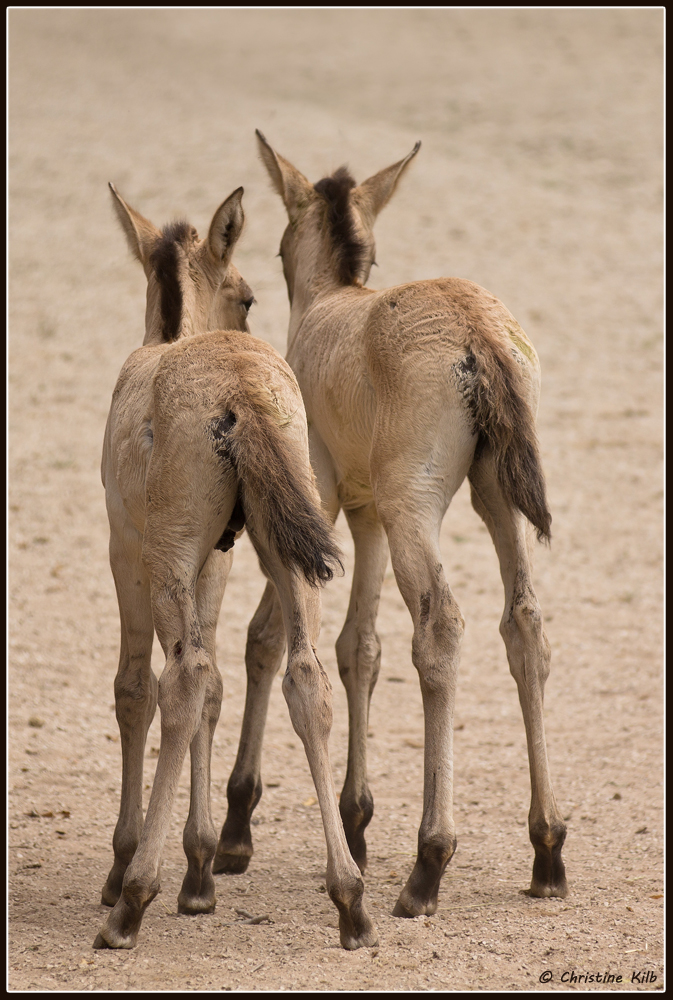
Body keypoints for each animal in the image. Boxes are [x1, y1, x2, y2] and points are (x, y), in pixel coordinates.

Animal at [95, 186, 376, 952]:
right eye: (248, 297)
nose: (249, 313)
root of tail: (239, 388)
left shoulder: (129, 551)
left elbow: (137, 689)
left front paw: (130, 865)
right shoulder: (215, 563)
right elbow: (221, 687)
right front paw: (200, 871)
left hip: (165, 560)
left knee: (181, 678)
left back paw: (132, 902)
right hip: (286, 556)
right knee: (304, 677)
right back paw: (350, 900)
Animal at [215, 137, 568, 924]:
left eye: (276, 244)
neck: (331, 305)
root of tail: (475, 332)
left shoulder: (318, 510)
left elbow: (268, 639)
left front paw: (236, 828)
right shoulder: (364, 516)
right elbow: (359, 648)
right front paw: (354, 821)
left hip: (416, 510)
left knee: (439, 627)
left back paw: (428, 864)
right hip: (493, 500)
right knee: (524, 622)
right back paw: (547, 849)